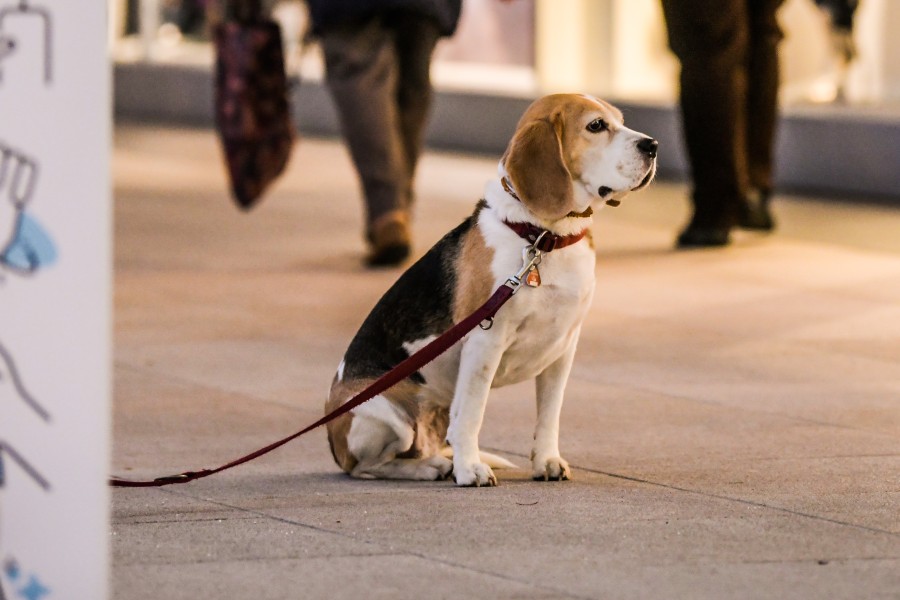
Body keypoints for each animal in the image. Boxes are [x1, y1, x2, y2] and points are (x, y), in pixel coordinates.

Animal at [324, 95, 652, 488]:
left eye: (620, 119)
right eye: (596, 126)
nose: (652, 146)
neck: (545, 237)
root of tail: (333, 442)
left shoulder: (563, 348)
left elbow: (549, 414)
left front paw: (546, 461)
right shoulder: (485, 341)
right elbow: (472, 414)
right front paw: (470, 469)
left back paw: (437, 461)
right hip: (384, 414)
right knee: (366, 466)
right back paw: (430, 467)